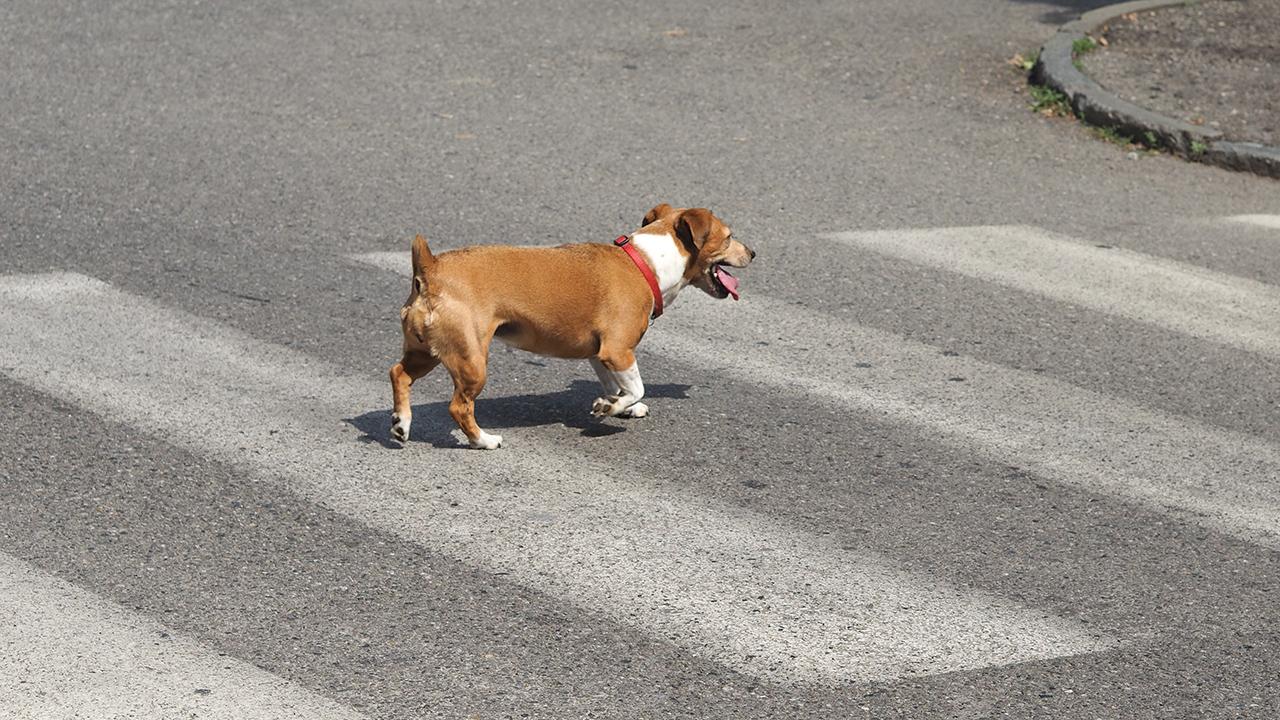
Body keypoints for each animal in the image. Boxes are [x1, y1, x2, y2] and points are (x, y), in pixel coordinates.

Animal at [384, 202, 752, 445]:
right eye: (729, 237)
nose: (753, 253)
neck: (646, 263)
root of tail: (430, 269)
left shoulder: (600, 356)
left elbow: (616, 386)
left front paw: (618, 406)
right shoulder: (618, 351)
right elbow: (636, 386)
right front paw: (613, 406)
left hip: (426, 352)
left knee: (398, 373)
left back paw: (402, 423)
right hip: (472, 360)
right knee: (459, 407)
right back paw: (483, 440)